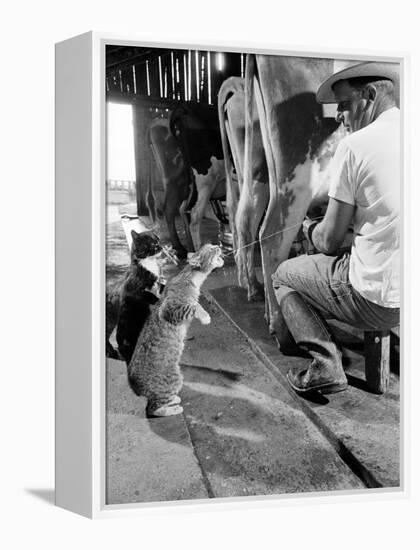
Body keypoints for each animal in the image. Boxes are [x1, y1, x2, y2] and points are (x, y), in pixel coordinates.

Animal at [128, 245, 225, 418]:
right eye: (211, 249)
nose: (219, 245)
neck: (190, 277)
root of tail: (134, 386)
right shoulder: (170, 309)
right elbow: (194, 306)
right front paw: (205, 316)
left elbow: (194, 304)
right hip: (175, 378)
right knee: (153, 409)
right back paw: (174, 408)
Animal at [218, 56, 346, 334]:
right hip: (297, 177)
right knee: (271, 235)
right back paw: (278, 320)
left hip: (257, 173)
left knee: (244, 217)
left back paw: (252, 288)